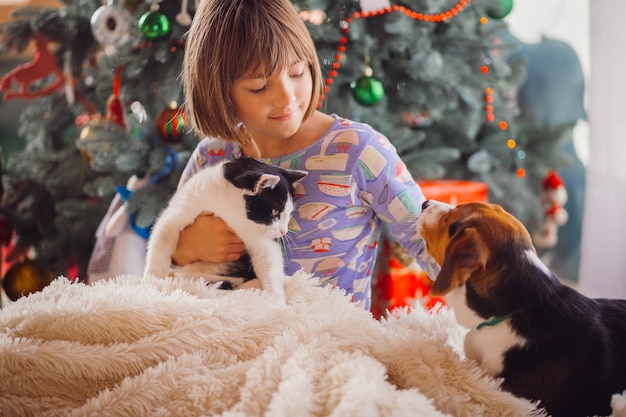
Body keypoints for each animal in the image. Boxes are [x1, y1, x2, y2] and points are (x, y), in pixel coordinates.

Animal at [144, 156, 304, 300]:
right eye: (275, 212)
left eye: (289, 214)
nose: (284, 231)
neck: (228, 210)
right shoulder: (180, 209)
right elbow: (162, 239)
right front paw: (153, 281)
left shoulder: (258, 236)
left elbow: (269, 260)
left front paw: (277, 300)